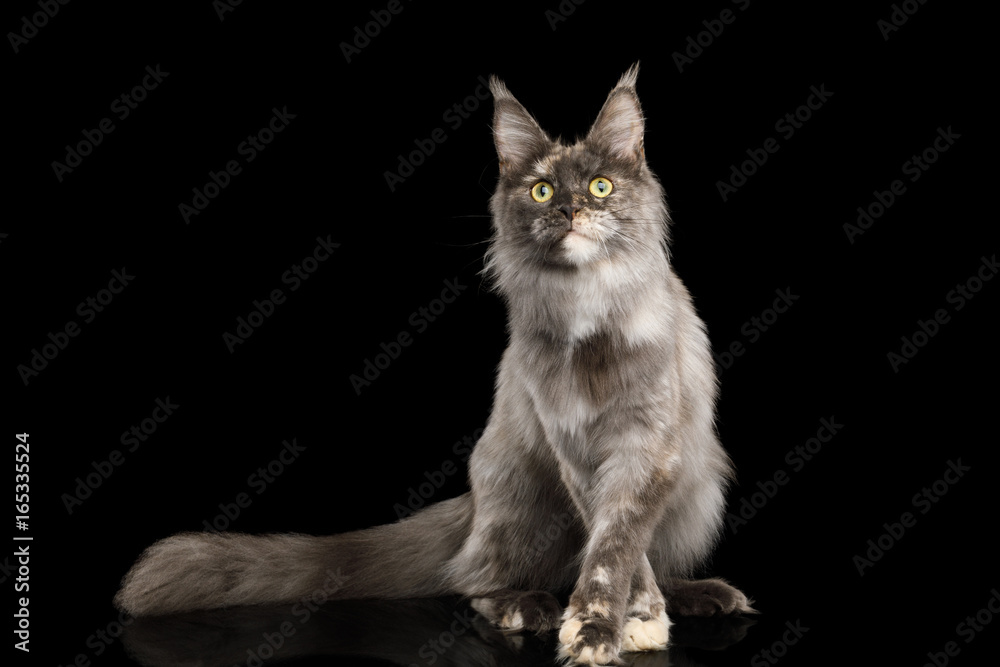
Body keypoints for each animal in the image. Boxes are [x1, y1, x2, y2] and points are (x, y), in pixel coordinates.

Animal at [115, 64, 752, 667]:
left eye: (601, 186)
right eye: (542, 192)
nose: (571, 209)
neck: (585, 309)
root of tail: (472, 503)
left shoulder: (648, 448)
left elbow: (617, 541)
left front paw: (625, 620)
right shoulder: (571, 446)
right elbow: (608, 540)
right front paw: (611, 623)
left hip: (700, 488)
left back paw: (699, 593)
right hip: (519, 498)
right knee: (469, 579)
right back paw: (528, 606)